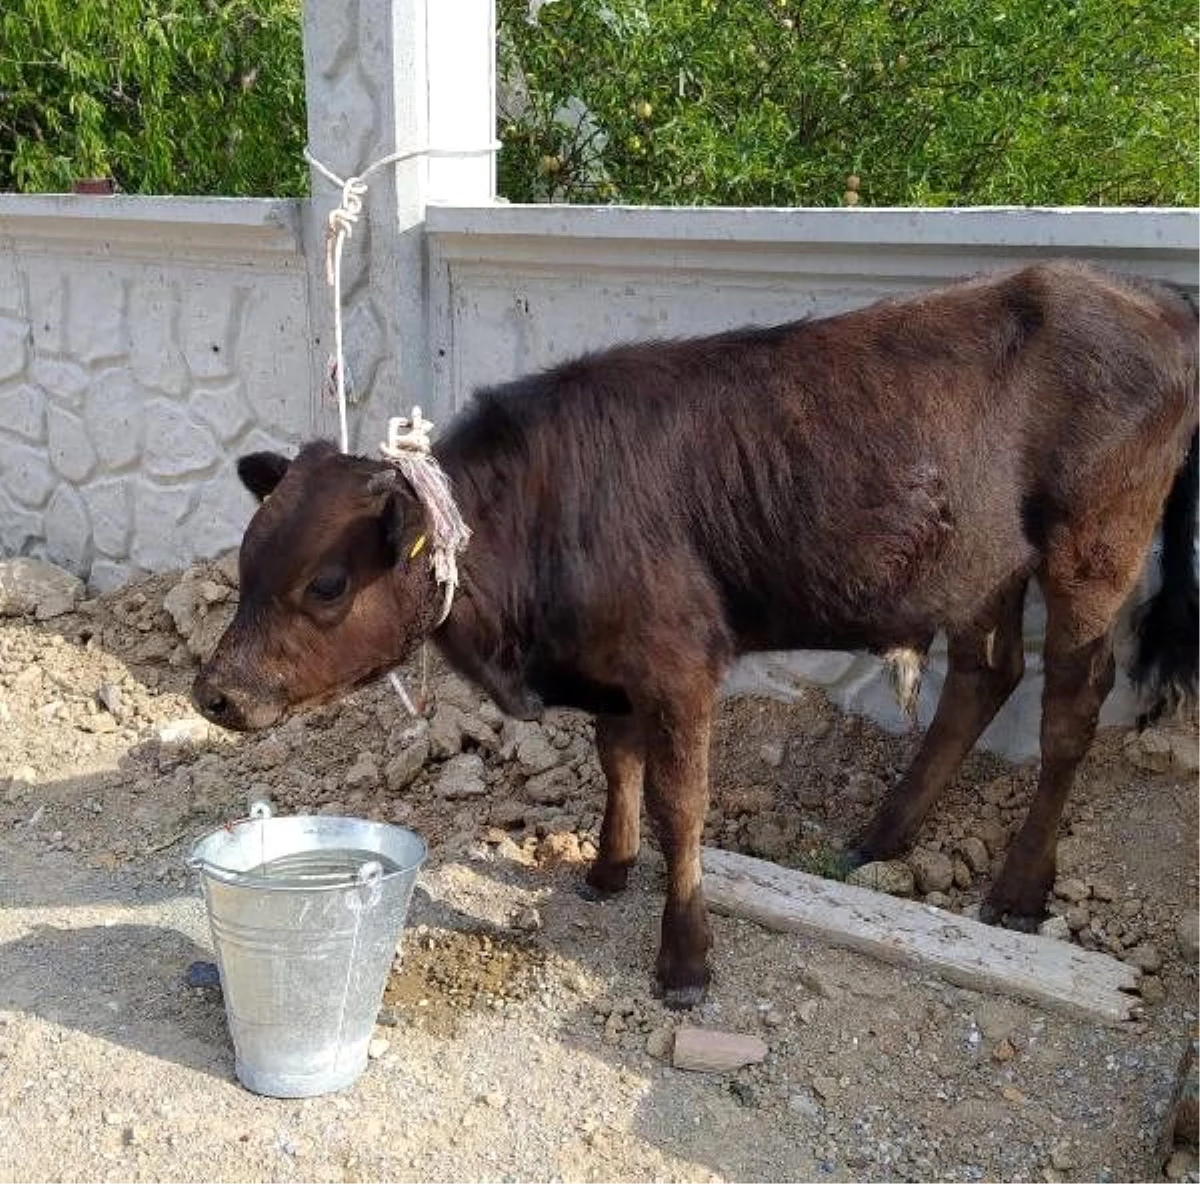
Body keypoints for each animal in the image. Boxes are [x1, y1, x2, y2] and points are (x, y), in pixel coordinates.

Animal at [194, 261, 1200, 1007]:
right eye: (246, 561)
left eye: (325, 583)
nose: (215, 693)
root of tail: (1148, 296)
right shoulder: (615, 670)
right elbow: (618, 763)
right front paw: (608, 868)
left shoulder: (678, 668)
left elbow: (684, 805)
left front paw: (684, 958)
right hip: (985, 562)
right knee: (983, 677)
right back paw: (882, 834)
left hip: (1093, 550)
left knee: (1071, 703)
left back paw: (1019, 889)